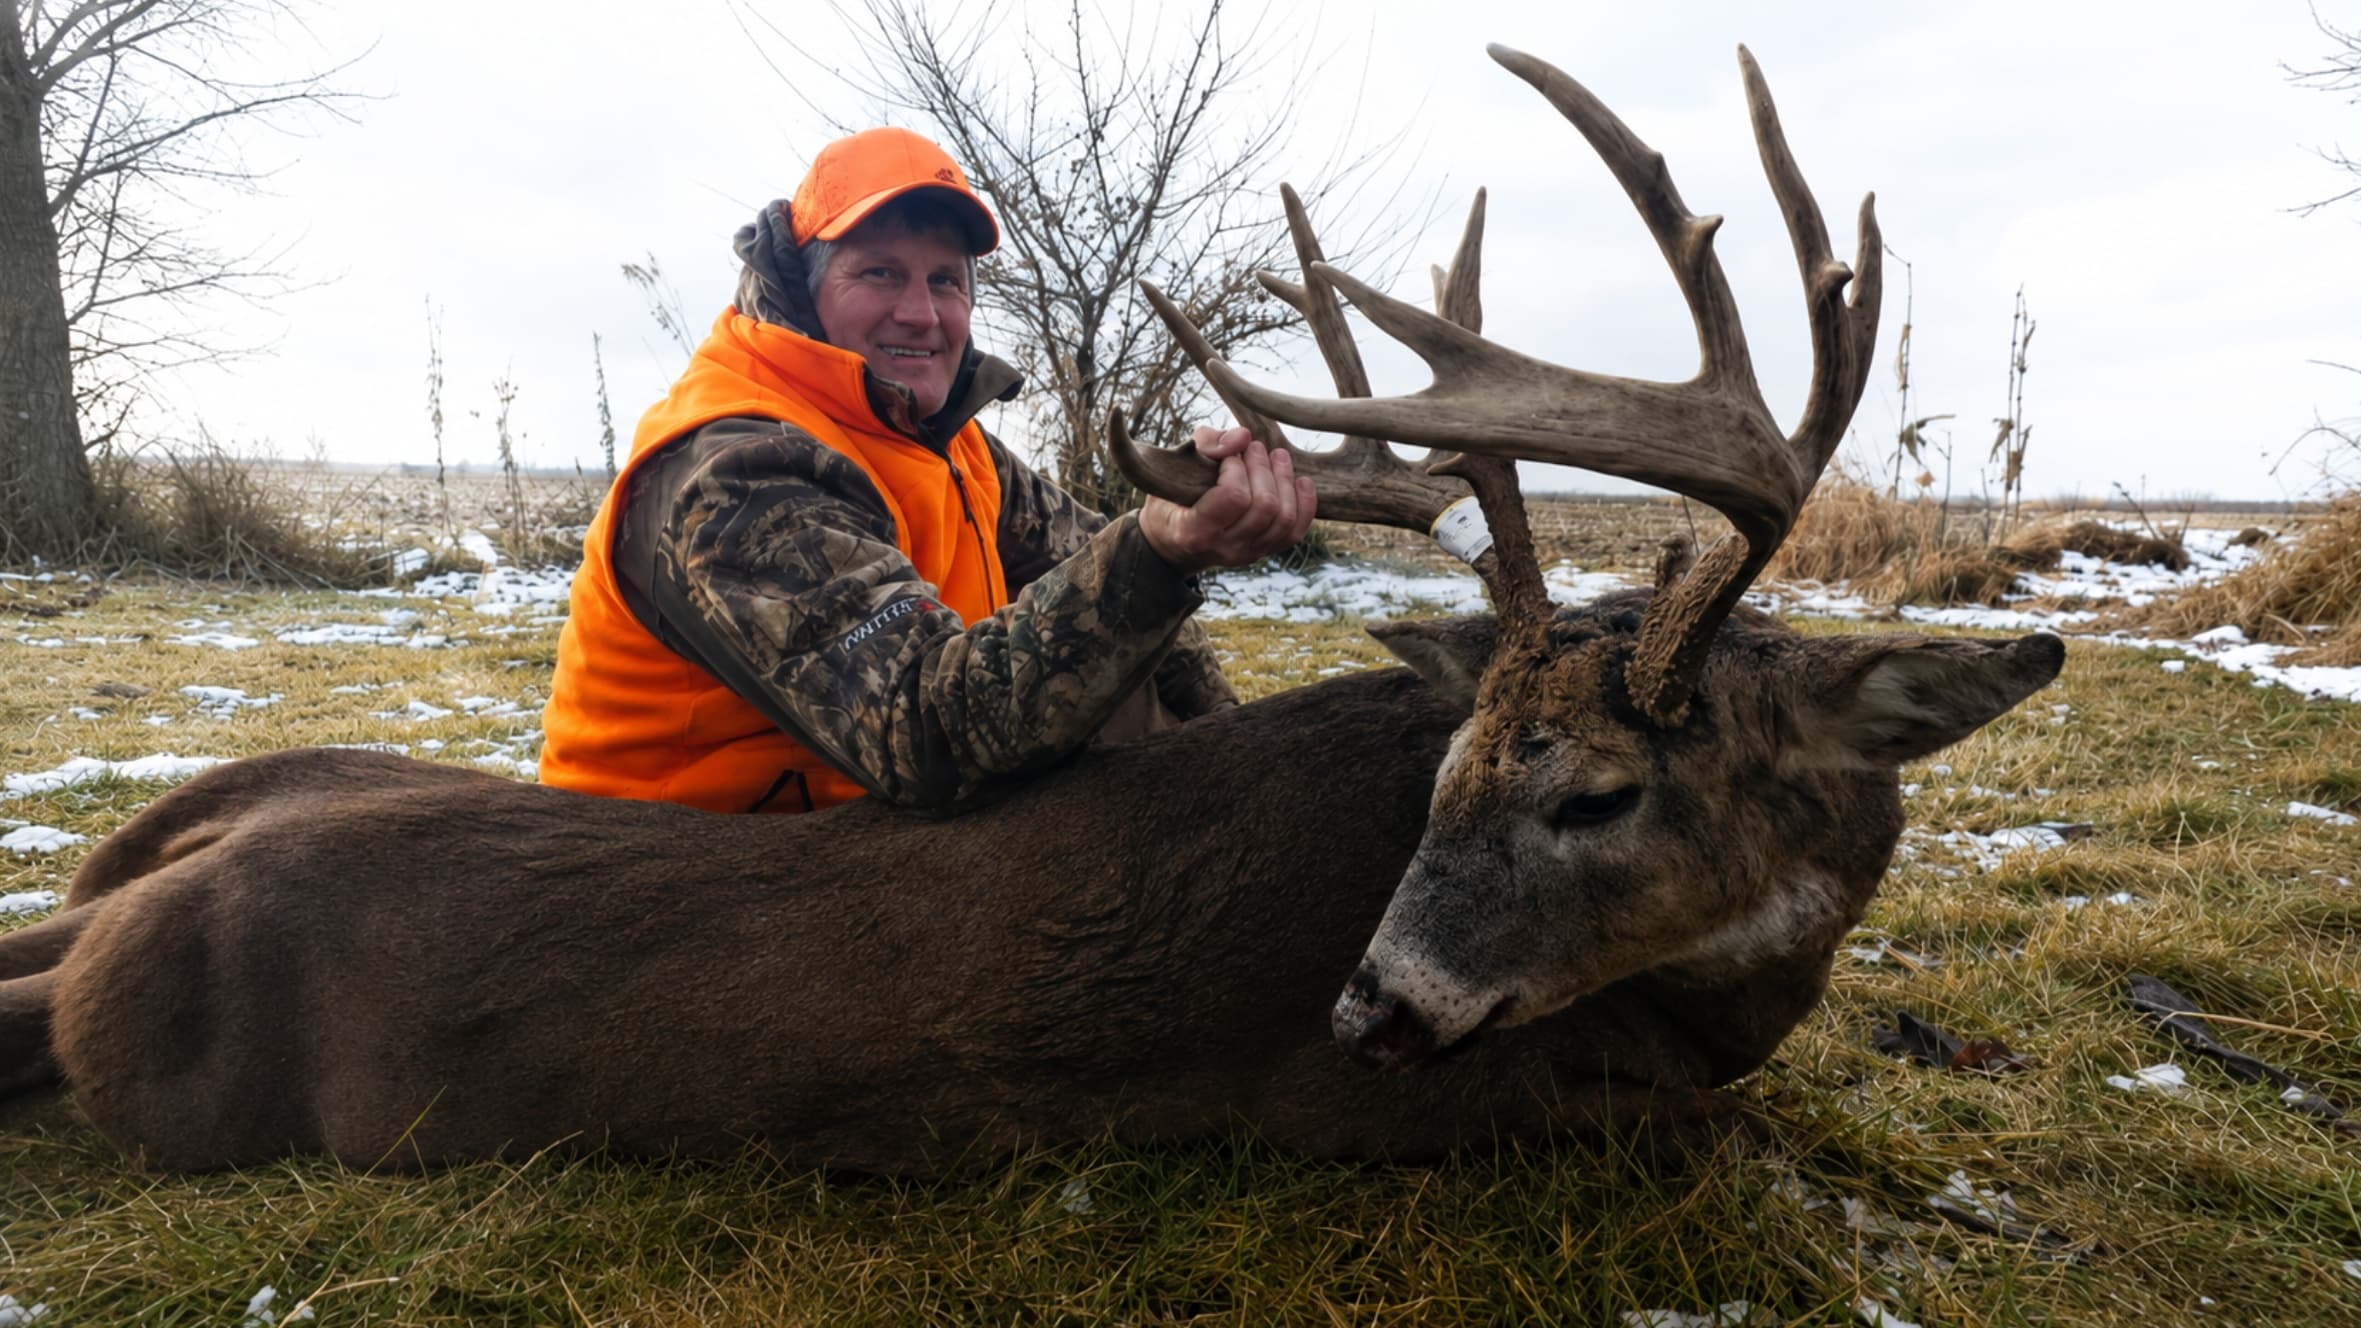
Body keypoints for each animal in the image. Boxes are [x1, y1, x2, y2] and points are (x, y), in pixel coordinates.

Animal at [0, 44, 2060, 1176]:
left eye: (1596, 791)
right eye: (1458, 774)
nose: (1367, 1009)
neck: (1721, 993)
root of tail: (144, 896)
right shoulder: (1505, 1104)